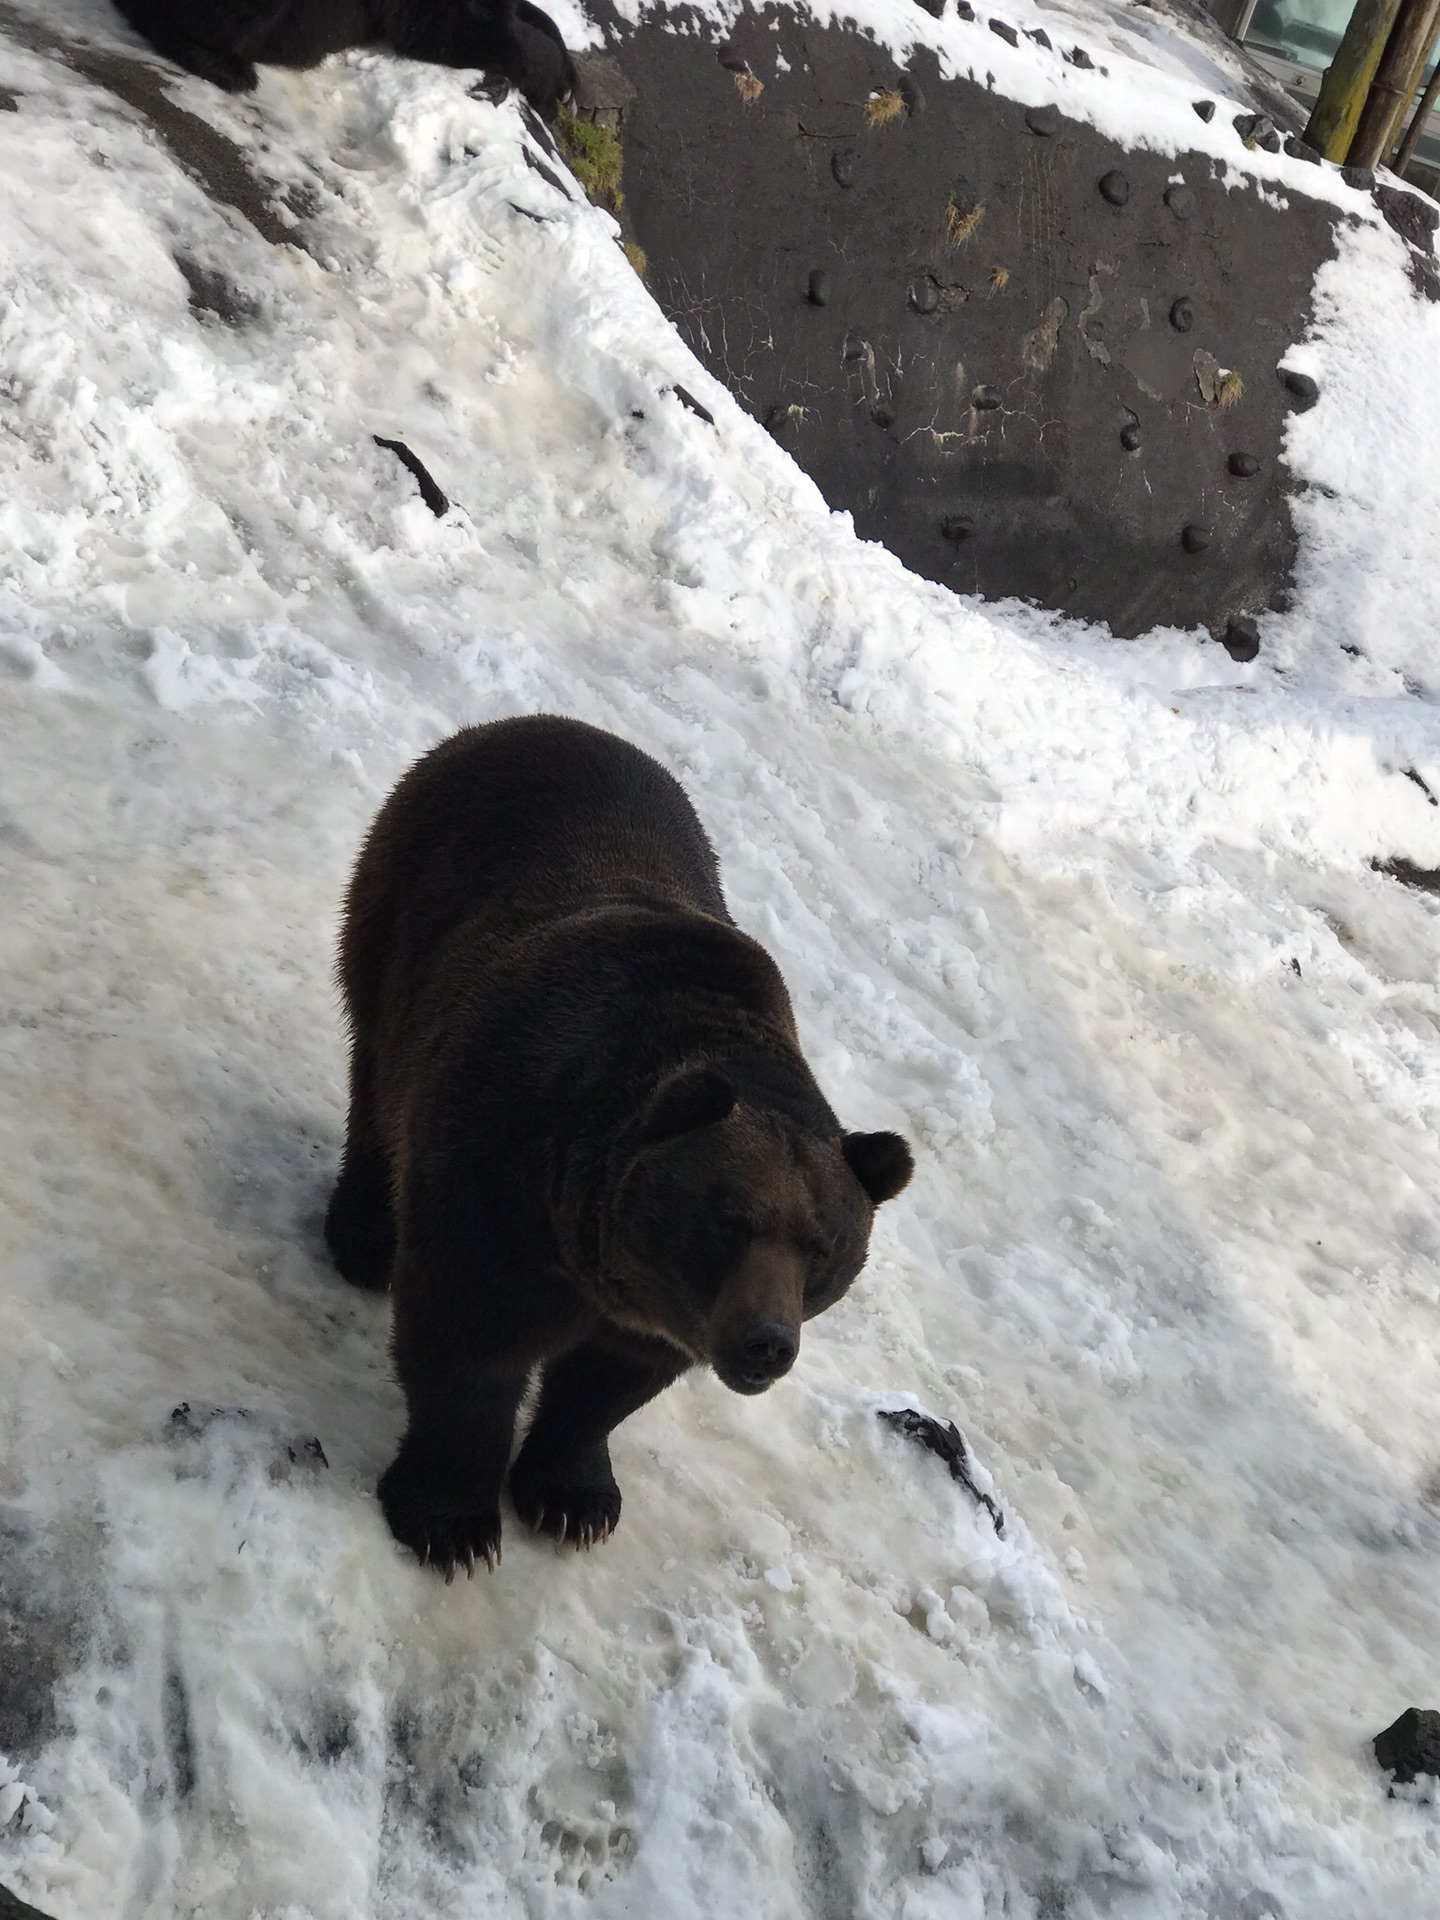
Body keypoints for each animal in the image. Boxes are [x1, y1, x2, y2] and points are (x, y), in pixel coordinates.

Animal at [326, 721, 913, 1574]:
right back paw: (363, 1237)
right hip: (401, 910)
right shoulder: (500, 1180)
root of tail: (535, 721)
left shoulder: (654, 1308)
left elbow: (607, 1387)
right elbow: (470, 1340)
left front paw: (573, 1500)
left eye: (824, 1247)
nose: (767, 1343)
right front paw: (452, 1522)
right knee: (374, 1070)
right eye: (728, 1220)